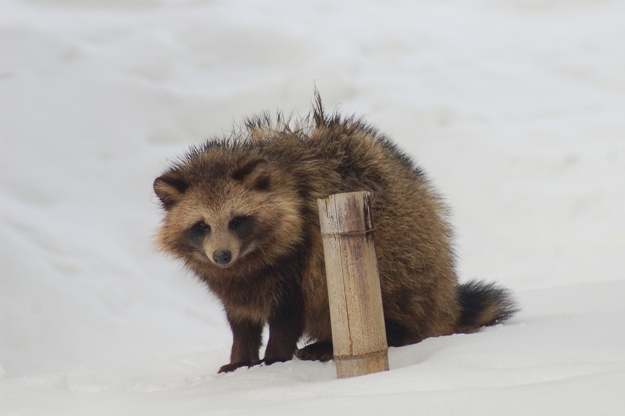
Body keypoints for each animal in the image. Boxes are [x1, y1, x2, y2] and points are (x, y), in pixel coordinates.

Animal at [154, 95, 516, 374]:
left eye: (237, 220)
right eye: (202, 225)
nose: (222, 256)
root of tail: (445, 300)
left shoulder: (296, 260)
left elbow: (287, 315)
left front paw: (275, 359)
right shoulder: (233, 282)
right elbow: (241, 321)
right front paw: (241, 359)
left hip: (401, 257)